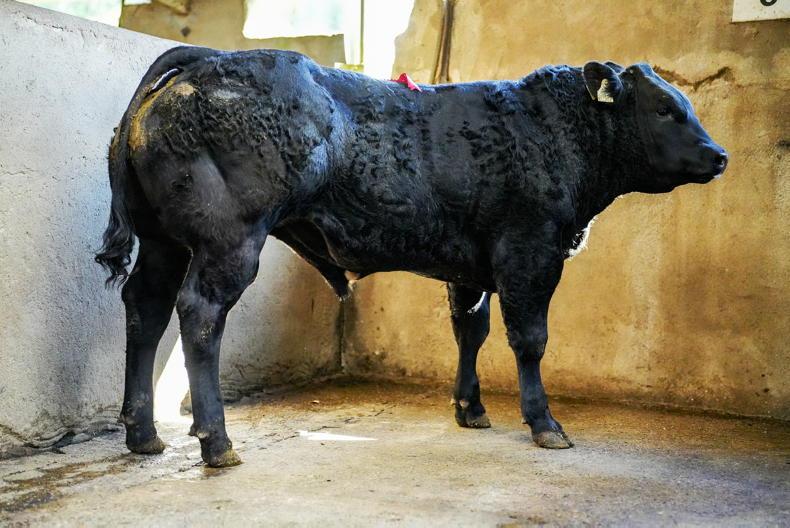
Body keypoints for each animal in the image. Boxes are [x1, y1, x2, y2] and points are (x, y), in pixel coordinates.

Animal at [96, 46, 728, 467]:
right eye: (665, 109)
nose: (719, 154)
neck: (554, 130)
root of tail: (205, 61)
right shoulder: (531, 252)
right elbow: (530, 339)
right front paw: (544, 422)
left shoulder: (470, 268)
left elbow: (470, 331)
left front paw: (470, 408)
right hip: (230, 241)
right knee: (200, 316)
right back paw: (217, 441)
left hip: (164, 244)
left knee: (145, 309)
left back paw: (143, 434)